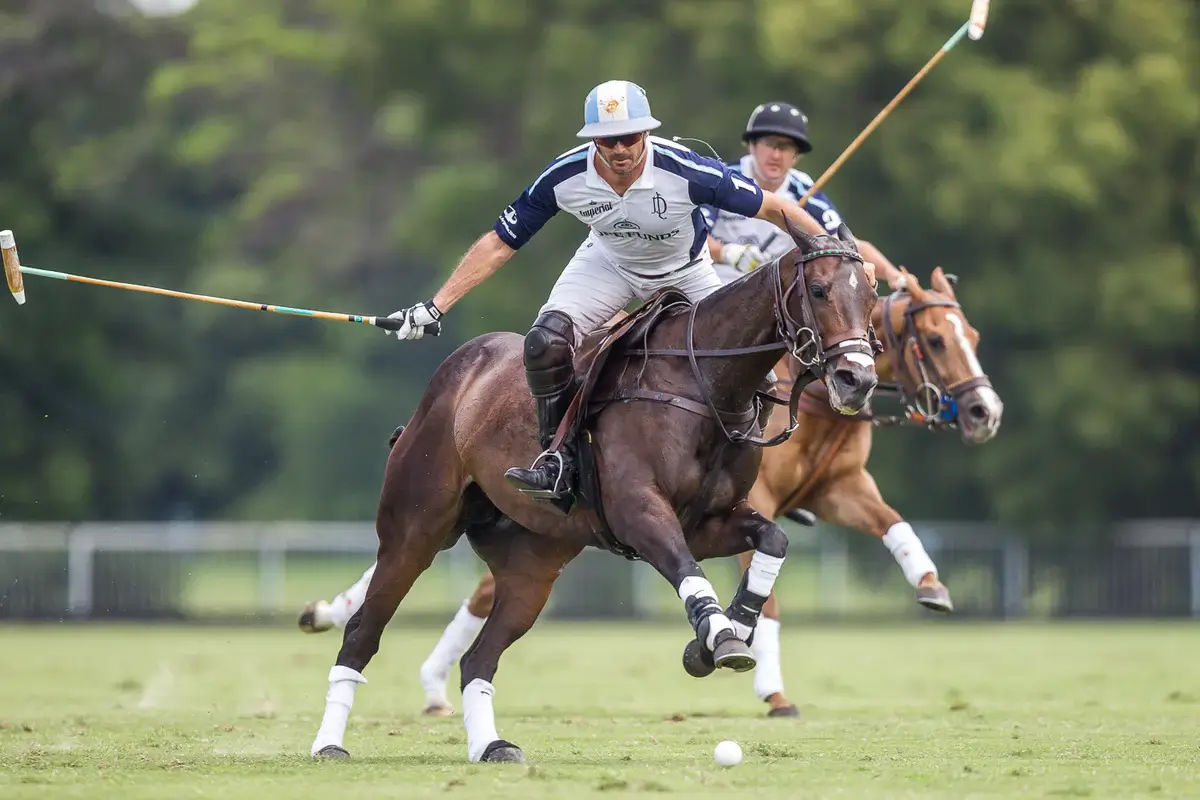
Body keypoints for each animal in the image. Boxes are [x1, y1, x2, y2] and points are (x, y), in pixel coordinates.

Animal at [304, 220, 878, 762]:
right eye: (820, 290)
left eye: (872, 294)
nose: (858, 380)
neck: (704, 383)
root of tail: (458, 368)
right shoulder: (640, 512)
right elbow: (688, 571)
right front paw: (717, 638)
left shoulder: (707, 522)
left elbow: (773, 540)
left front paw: (723, 635)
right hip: (414, 531)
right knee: (363, 631)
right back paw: (328, 743)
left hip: (532, 566)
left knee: (479, 656)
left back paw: (491, 747)